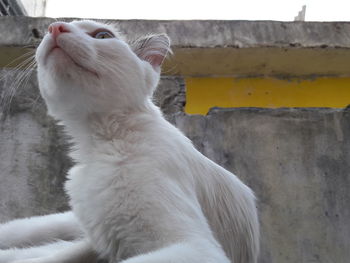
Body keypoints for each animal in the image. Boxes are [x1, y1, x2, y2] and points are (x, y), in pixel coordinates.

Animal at [0, 21, 258, 263]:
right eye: (51, 28)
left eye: (103, 35)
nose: (55, 27)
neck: (99, 142)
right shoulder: (97, 240)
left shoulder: (196, 248)